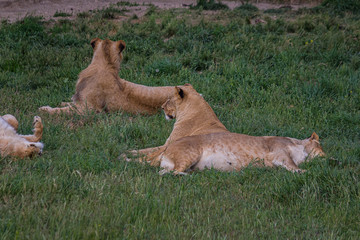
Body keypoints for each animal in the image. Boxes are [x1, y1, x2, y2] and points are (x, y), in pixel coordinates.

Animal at [39, 38, 174, 115]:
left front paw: (45, 109)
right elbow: (69, 103)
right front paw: (63, 102)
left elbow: (63, 110)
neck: (105, 65)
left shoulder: (89, 109)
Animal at [155, 86, 326, 174]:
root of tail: (166, 152)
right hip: (190, 154)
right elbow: (292, 164)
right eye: (320, 146)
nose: (327, 157)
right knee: (175, 172)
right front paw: (305, 172)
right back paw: (190, 175)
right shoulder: (279, 152)